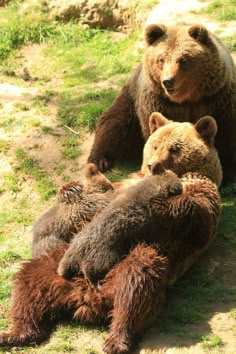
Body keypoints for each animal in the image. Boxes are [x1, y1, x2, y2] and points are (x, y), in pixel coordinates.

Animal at [0, 113, 221, 354]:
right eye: (154, 145)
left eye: (174, 149)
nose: (153, 164)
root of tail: (83, 298)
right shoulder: (123, 183)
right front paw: (72, 189)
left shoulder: (200, 197)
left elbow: (194, 216)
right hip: (51, 267)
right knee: (27, 284)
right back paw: (13, 333)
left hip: (134, 262)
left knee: (135, 285)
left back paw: (117, 339)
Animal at [87, 22, 235, 183]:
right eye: (161, 59)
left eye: (183, 60)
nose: (168, 81)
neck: (187, 98)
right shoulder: (159, 101)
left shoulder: (217, 97)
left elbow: (226, 131)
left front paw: (227, 171)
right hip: (130, 102)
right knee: (113, 123)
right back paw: (100, 161)